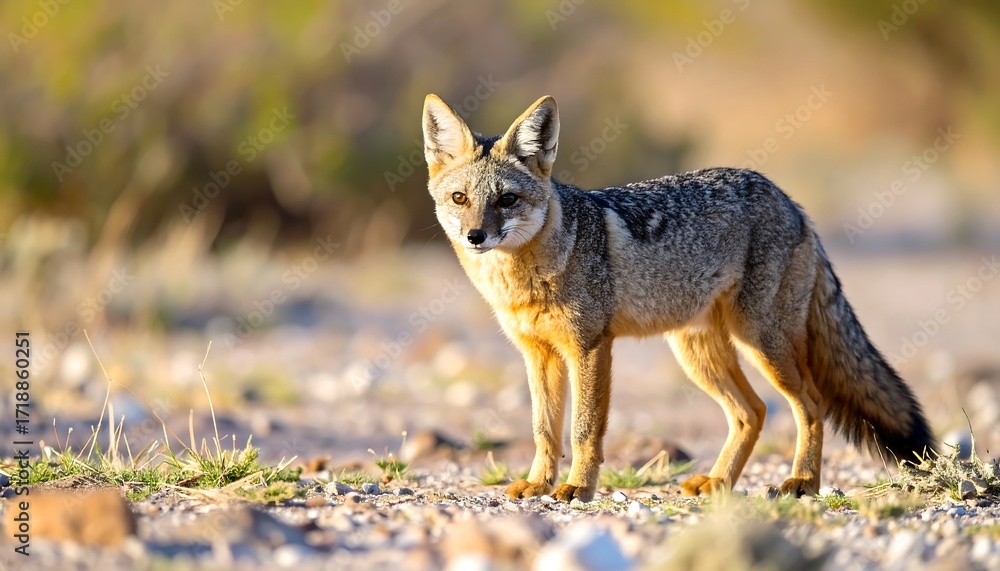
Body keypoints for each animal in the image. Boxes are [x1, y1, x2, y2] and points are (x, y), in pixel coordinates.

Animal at [421, 93, 935, 502]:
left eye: (506, 199)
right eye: (461, 198)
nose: (475, 236)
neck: (525, 279)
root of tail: (789, 200)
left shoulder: (590, 347)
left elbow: (584, 429)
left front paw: (578, 488)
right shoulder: (538, 355)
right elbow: (544, 429)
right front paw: (538, 483)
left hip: (761, 344)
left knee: (809, 405)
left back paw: (802, 483)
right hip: (699, 355)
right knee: (753, 412)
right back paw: (720, 482)